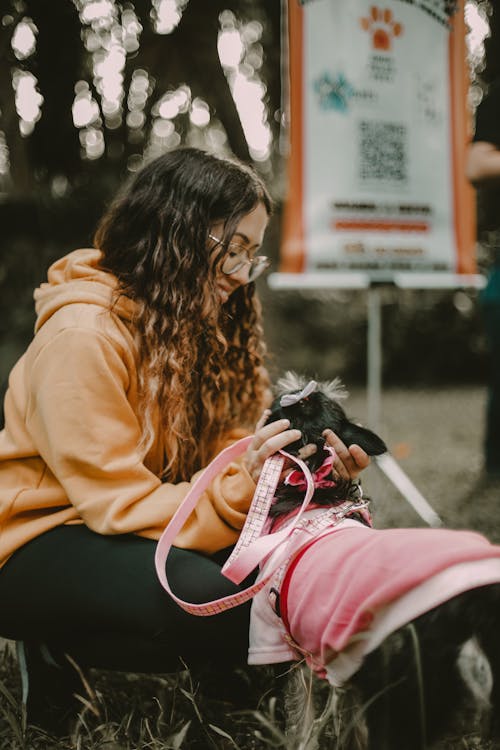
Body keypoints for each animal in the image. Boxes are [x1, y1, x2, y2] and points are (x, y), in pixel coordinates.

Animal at [260, 376, 500, 750]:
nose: (295, 386)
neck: (314, 491)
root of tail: (464, 612)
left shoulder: (284, 643)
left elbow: (301, 721)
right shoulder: (341, 666)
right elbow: (348, 723)